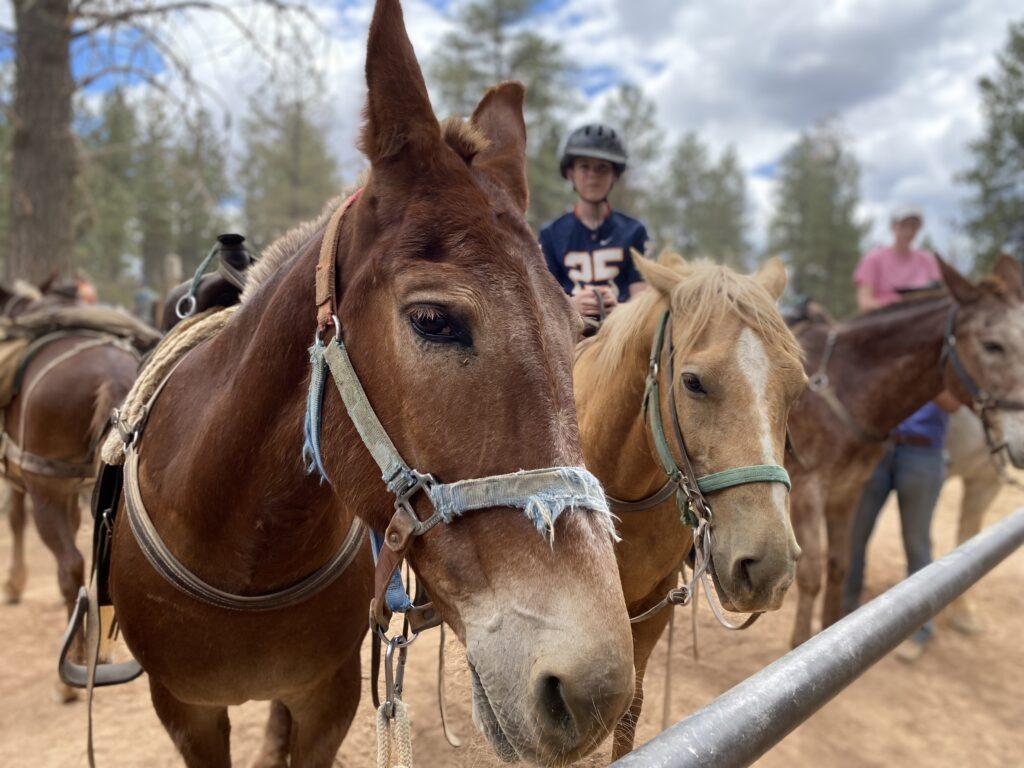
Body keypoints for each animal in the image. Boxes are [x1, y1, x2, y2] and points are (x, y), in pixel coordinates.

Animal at [0, 279, 140, 702]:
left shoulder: (37, 481)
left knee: (71, 567)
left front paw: (13, 583)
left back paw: (69, 678)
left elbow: (16, 518)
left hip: (47, 490)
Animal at [103, 2, 634, 766]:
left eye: (577, 331)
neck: (243, 548)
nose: (595, 690)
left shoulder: (328, 701)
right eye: (434, 320)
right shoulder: (186, 711)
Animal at [786, 255, 1024, 647]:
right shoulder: (808, 489)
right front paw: (799, 646)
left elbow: (839, 565)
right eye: (992, 345)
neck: (845, 385)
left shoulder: (847, 490)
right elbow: (811, 574)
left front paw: (830, 628)